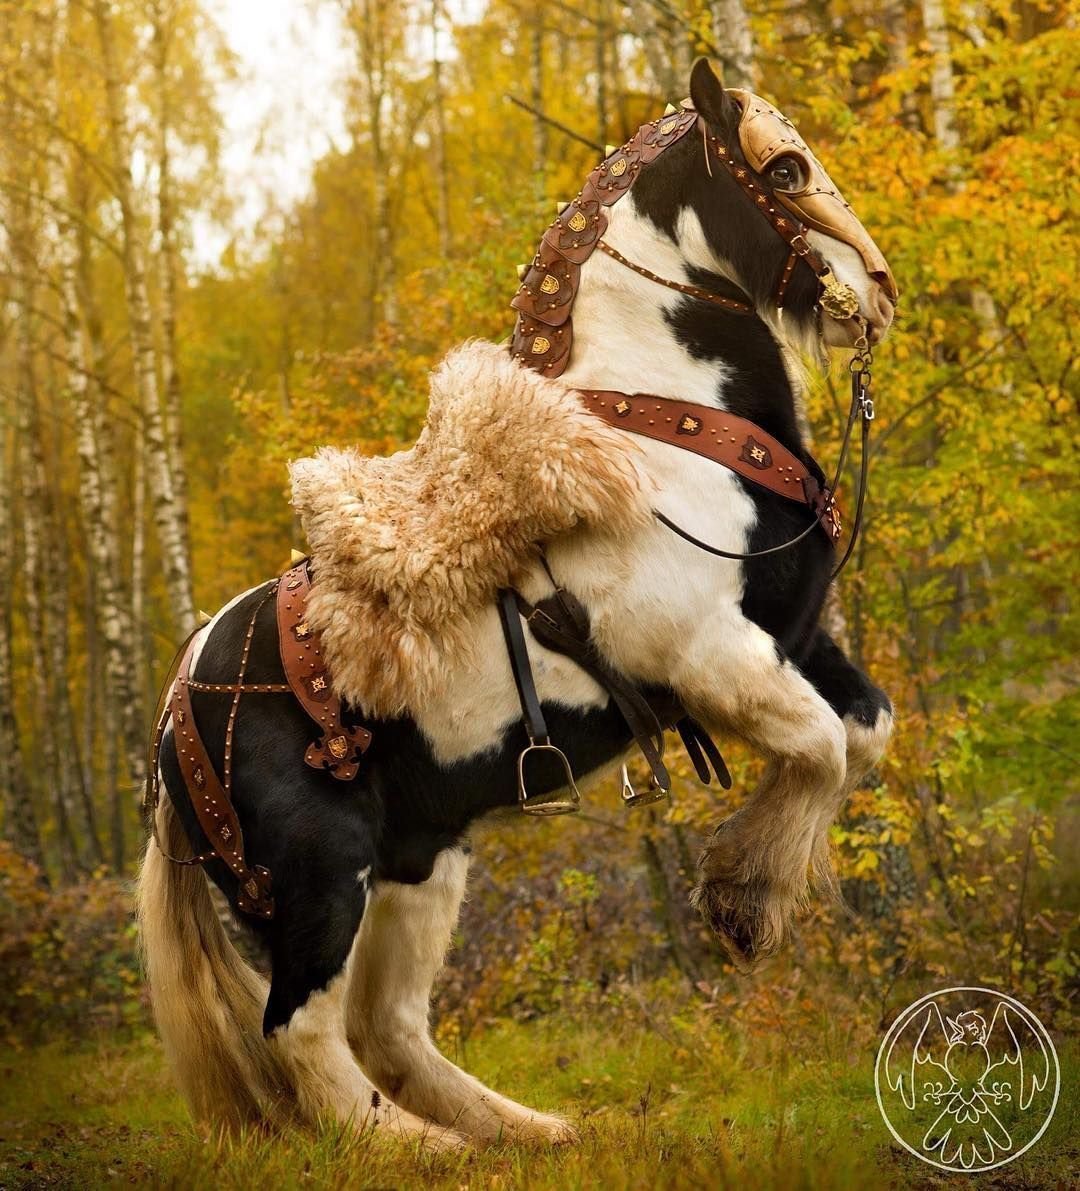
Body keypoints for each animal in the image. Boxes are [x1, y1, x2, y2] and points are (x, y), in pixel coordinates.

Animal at [137, 58, 897, 1149]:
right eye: (785, 167)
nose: (875, 291)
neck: (659, 433)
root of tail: (175, 713)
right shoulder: (711, 656)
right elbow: (825, 746)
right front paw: (741, 902)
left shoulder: (795, 641)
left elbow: (865, 731)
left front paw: (748, 883)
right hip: (323, 875)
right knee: (305, 1036)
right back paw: (419, 1153)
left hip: (422, 856)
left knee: (388, 1026)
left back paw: (524, 1132)